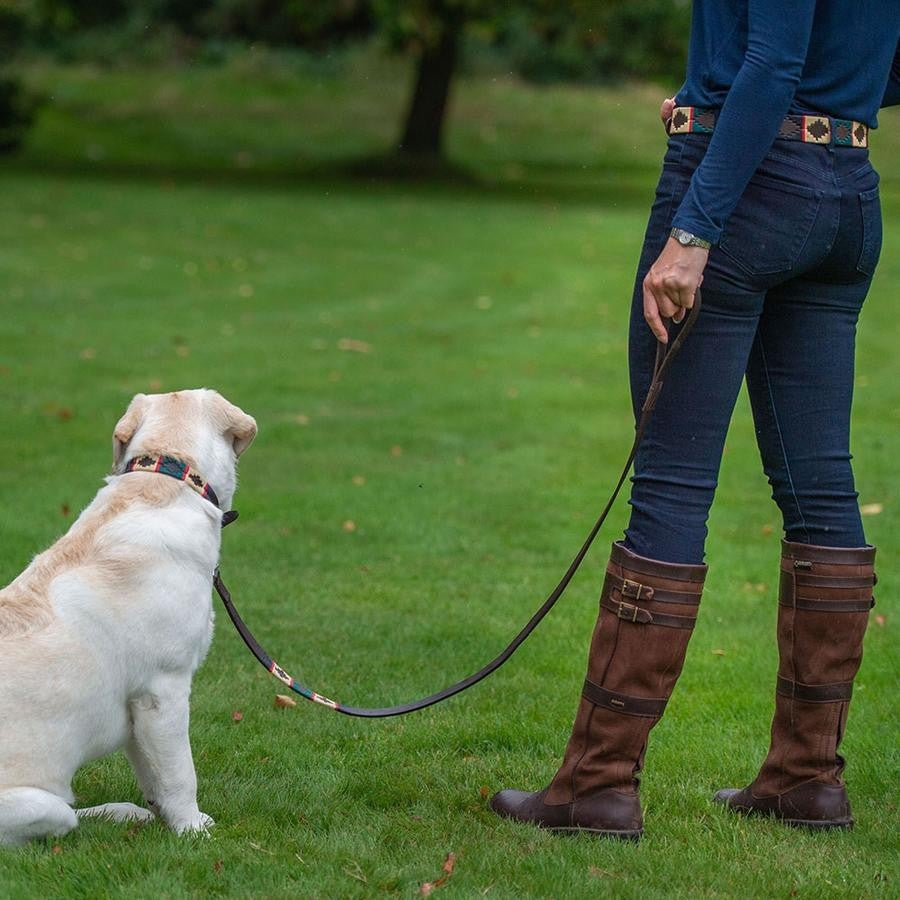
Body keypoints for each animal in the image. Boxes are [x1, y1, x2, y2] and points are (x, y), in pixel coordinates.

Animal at [0, 386, 256, 844]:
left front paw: (169, 818)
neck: (165, 474)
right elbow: (180, 774)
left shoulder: (139, 709)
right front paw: (192, 831)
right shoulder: (163, 690)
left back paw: (122, 813)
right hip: (35, 803)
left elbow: (154, 773)